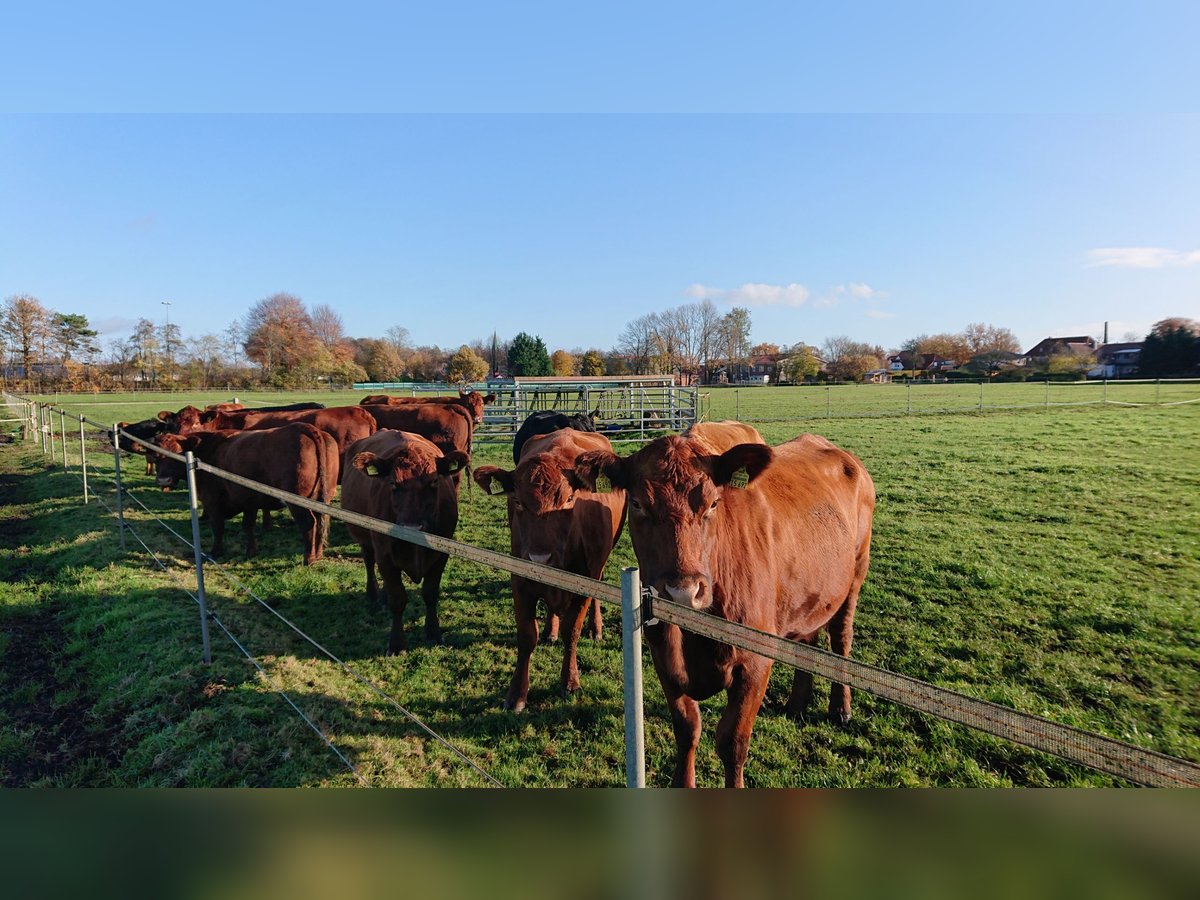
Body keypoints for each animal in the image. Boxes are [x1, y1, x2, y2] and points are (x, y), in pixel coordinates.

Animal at [151, 422, 338, 564]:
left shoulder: (213, 502)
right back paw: (318, 555)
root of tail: (304, 427)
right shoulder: (249, 502)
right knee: (321, 522)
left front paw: (215, 552)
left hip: (297, 503)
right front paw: (251, 552)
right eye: (155, 456)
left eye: (177, 453)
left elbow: (218, 527)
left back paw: (309, 559)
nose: (163, 480)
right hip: (324, 499)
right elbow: (248, 526)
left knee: (309, 523)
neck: (207, 450)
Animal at [343, 432, 468, 657]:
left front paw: (433, 633)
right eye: (393, 483)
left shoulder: (441, 556)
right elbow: (398, 599)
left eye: (434, 481)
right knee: (369, 561)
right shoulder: (385, 556)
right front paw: (397, 644)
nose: (412, 527)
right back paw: (374, 595)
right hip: (365, 537)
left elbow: (430, 593)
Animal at [470, 429, 628, 710]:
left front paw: (570, 681)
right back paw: (549, 631)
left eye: (569, 499)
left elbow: (572, 631)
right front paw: (517, 694)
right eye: (517, 501)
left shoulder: (584, 581)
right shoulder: (520, 580)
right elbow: (526, 635)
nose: (539, 558)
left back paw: (595, 628)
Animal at [571, 434, 873, 787]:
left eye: (713, 504)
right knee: (807, 639)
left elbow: (732, 742)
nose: (683, 591)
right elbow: (687, 728)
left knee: (840, 638)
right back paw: (796, 704)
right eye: (637, 504)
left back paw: (841, 708)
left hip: (855, 573)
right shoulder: (662, 655)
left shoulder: (754, 663)